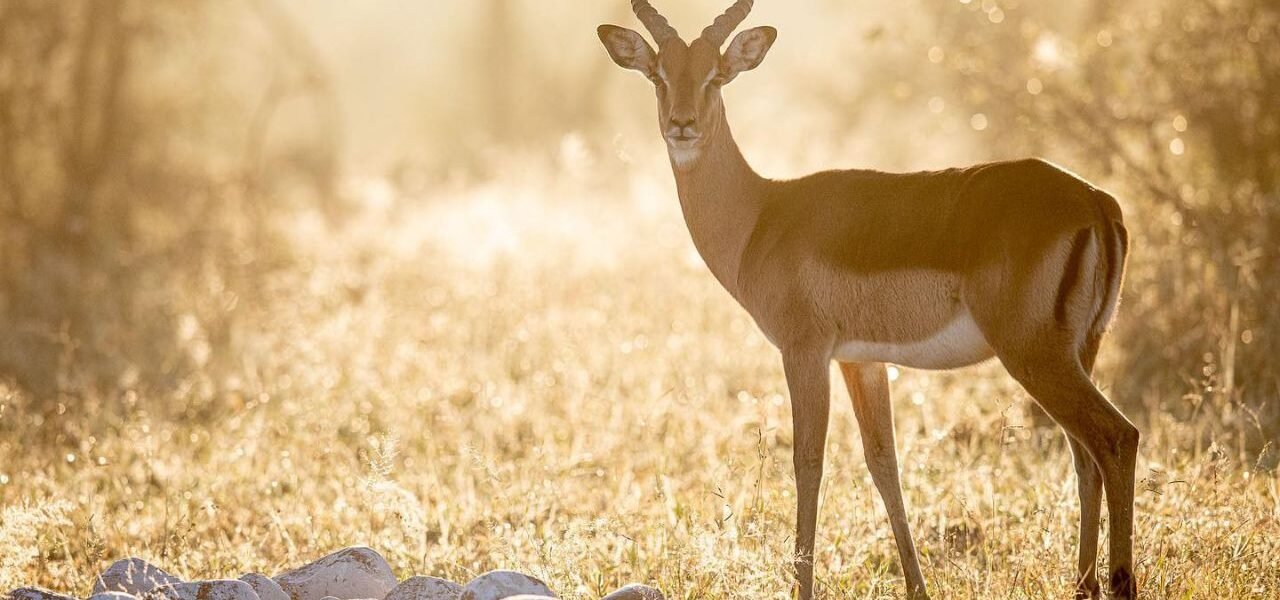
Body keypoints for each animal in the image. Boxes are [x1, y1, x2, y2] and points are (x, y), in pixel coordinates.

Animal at [596, 1, 1139, 599]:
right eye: (658, 74)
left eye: (715, 75)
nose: (683, 125)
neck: (761, 215)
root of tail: (1096, 201)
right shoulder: (862, 360)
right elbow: (885, 464)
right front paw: (918, 588)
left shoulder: (804, 351)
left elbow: (807, 461)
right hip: (1078, 352)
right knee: (1085, 456)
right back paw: (1084, 585)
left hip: (1034, 355)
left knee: (1117, 438)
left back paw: (1119, 582)